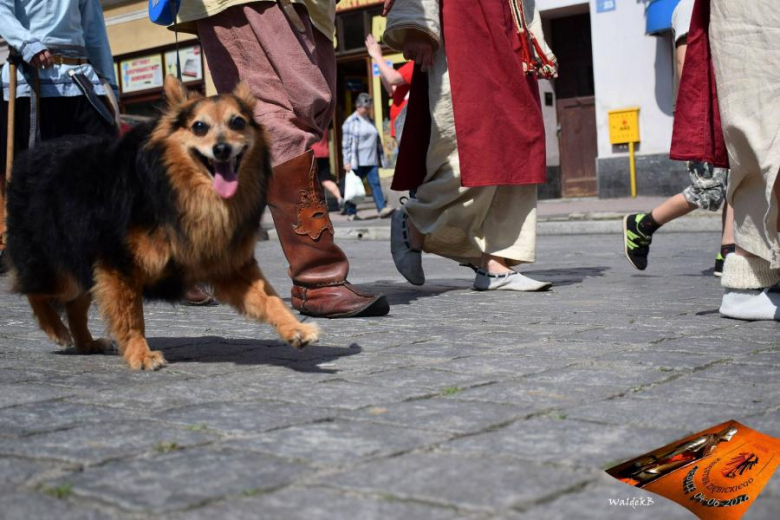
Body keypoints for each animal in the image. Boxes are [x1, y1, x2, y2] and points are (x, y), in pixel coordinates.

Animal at [5, 77, 316, 370]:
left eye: (237, 122)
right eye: (199, 127)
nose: (222, 149)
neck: (180, 189)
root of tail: (30, 154)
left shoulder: (226, 266)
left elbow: (269, 298)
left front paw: (295, 329)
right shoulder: (120, 264)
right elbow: (132, 316)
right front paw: (140, 354)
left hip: (84, 266)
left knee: (73, 304)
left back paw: (86, 343)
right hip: (60, 264)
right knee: (35, 290)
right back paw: (56, 330)